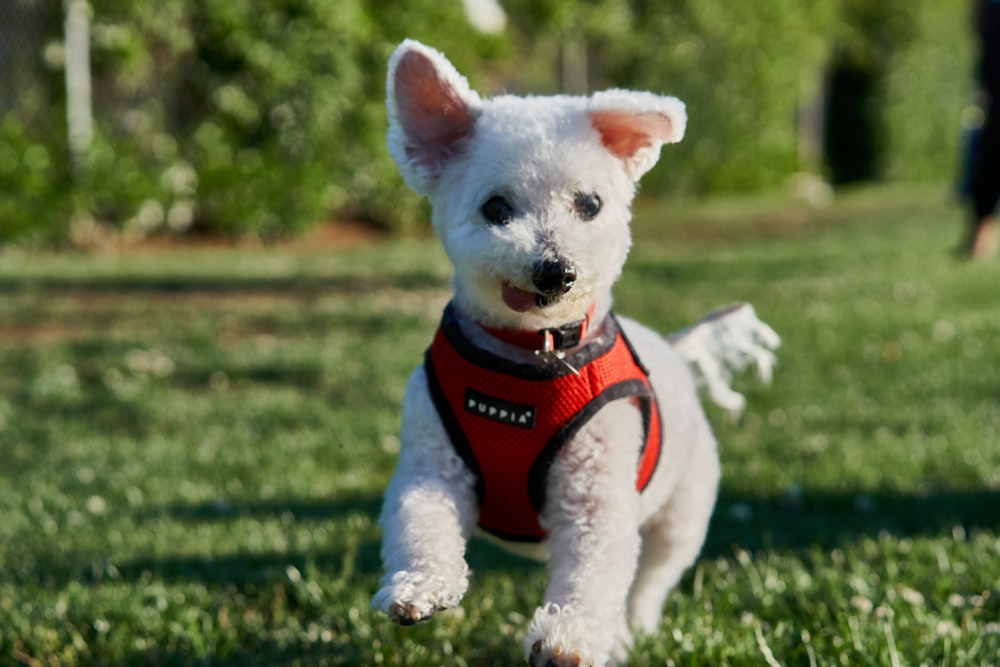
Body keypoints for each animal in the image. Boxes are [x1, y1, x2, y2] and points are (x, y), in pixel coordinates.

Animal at [376, 39, 780, 664]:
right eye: (496, 209)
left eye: (589, 204)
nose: (555, 269)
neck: (533, 357)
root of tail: (671, 347)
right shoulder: (432, 464)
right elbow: (423, 521)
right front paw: (420, 586)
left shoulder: (598, 494)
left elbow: (594, 571)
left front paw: (568, 638)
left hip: (681, 516)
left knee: (649, 580)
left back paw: (628, 633)